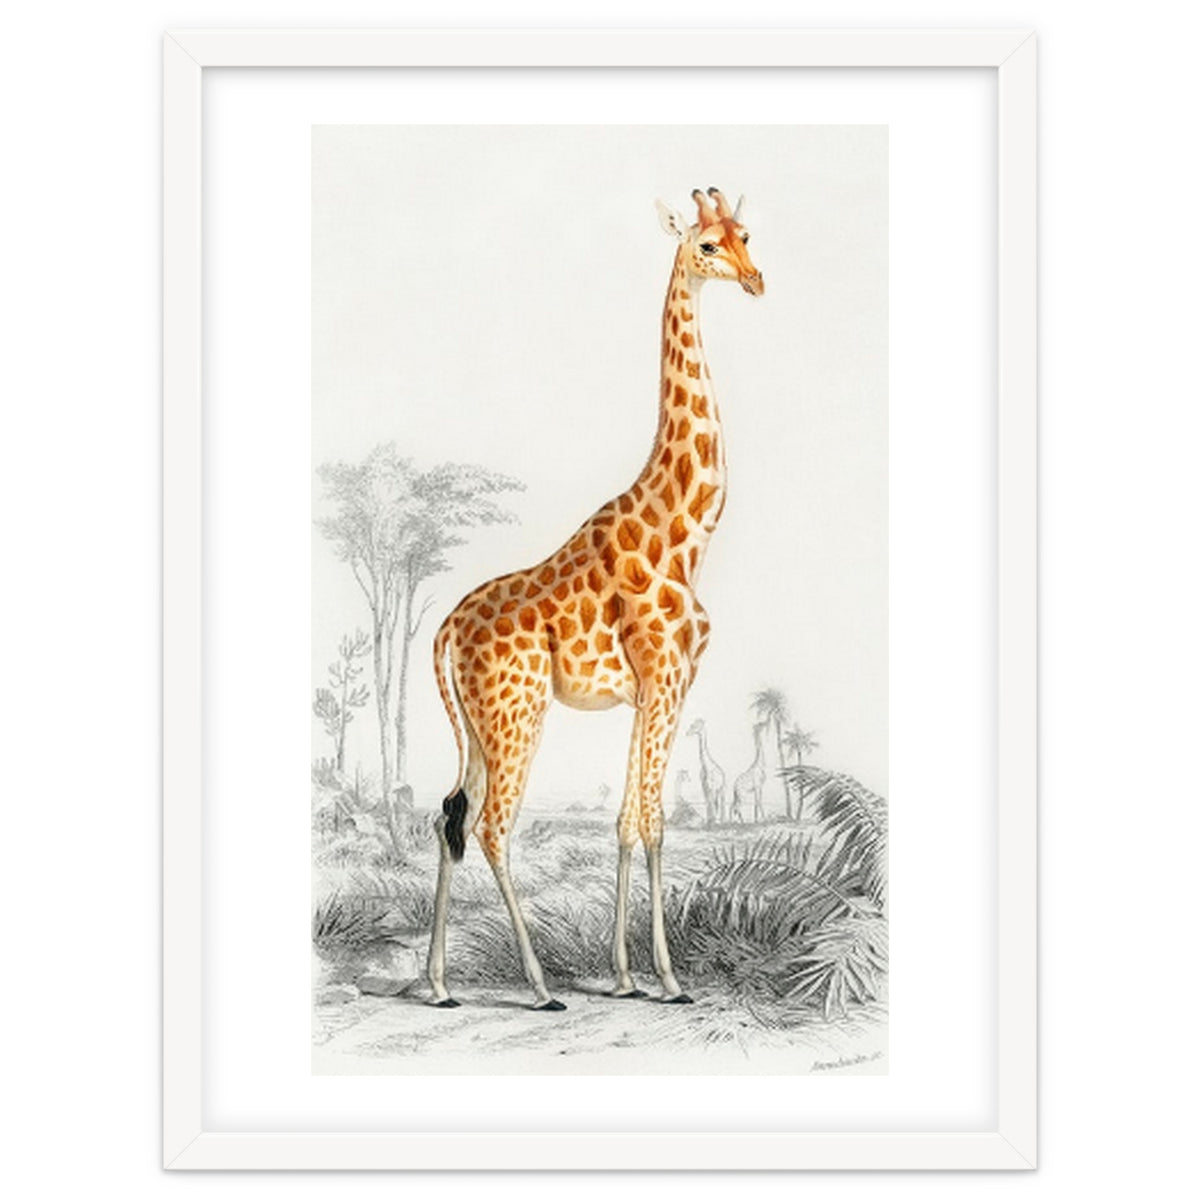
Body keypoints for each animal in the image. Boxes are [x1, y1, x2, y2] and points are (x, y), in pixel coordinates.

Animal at [427, 187, 763, 1010]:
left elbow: (628, 819)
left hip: (480, 725)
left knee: (449, 815)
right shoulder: (666, 680)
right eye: (706, 245)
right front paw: (668, 979)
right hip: (517, 714)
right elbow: (654, 821)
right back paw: (541, 986)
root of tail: (445, 629)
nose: (755, 280)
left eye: (746, 234)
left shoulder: (655, 690)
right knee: (491, 826)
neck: (686, 532)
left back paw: (439, 984)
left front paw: (626, 976)